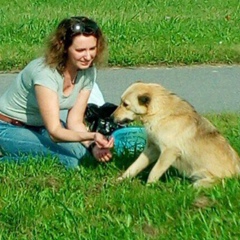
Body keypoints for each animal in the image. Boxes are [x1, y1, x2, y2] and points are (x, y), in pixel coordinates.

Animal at [112, 82, 240, 188]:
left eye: (125, 104)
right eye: (121, 102)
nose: (111, 117)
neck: (160, 113)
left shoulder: (169, 152)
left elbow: (154, 171)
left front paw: (148, 188)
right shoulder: (152, 149)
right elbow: (133, 167)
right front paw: (120, 180)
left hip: (202, 179)